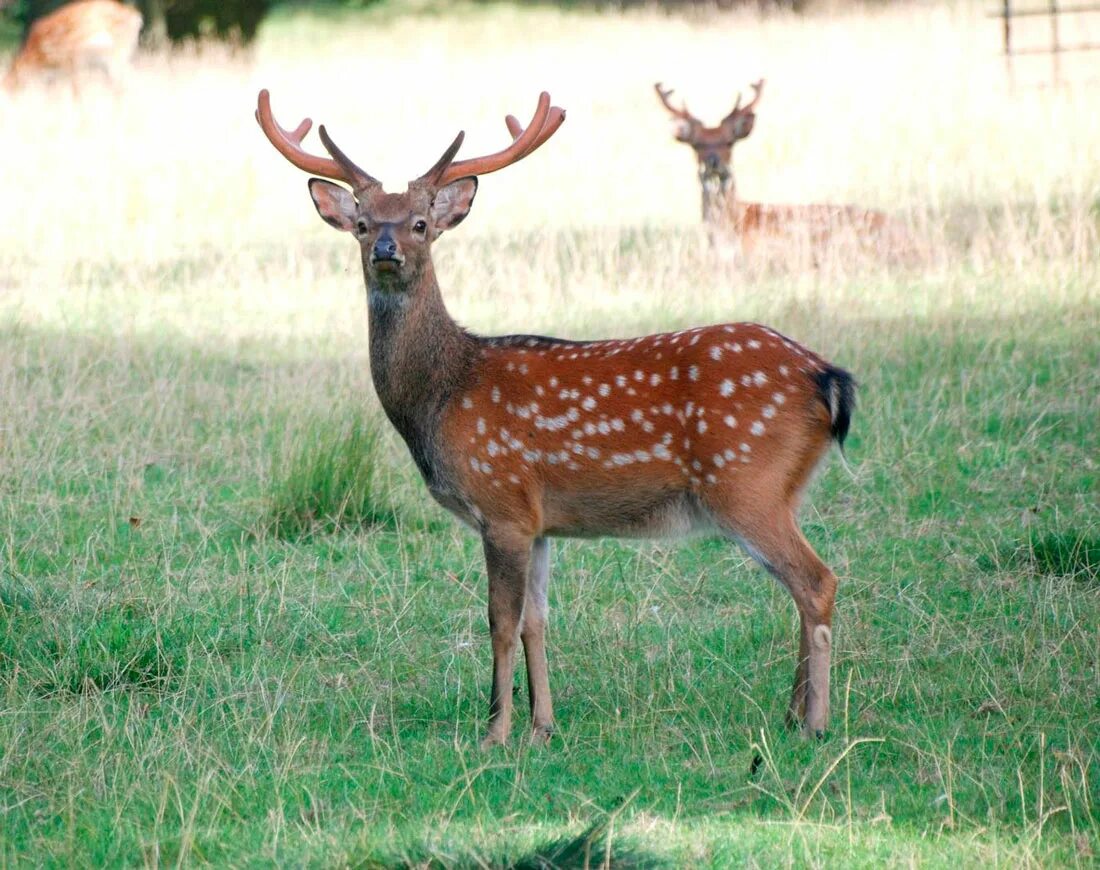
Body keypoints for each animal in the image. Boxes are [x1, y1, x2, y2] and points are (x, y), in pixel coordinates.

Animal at [259, 88, 858, 743]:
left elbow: (499, 620)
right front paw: (543, 726)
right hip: (781, 489)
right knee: (800, 588)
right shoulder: (539, 519)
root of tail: (828, 378)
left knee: (817, 581)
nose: (386, 251)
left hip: (746, 480)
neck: (443, 395)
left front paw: (495, 731)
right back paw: (789, 713)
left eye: (420, 223)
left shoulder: (501, 503)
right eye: (363, 223)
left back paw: (816, 724)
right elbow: (536, 621)